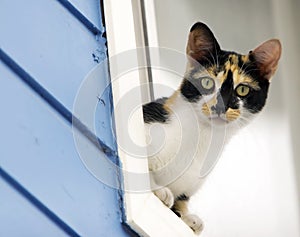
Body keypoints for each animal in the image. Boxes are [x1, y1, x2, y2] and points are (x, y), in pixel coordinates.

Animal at [143, 22, 282, 233]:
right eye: (207, 82)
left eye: (242, 89)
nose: (220, 106)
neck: (202, 137)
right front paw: (159, 190)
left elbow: (182, 199)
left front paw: (186, 217)